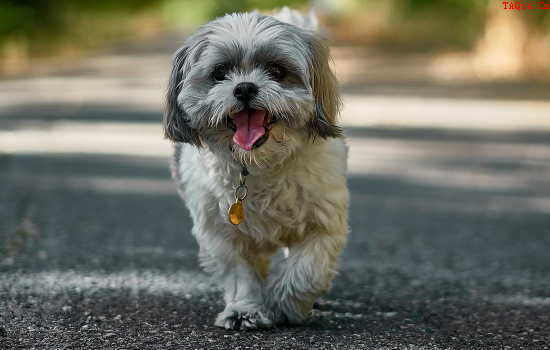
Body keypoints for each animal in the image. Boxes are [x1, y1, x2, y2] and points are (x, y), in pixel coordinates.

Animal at [166, 8, 352, 330]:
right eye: (220, 73)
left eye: (276, 71)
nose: (244, 87)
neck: (257, 165)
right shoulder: (220, 233)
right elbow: (239, 274)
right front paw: (245, 310)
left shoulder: (323, 223)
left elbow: (307, 269)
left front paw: (286, 304)